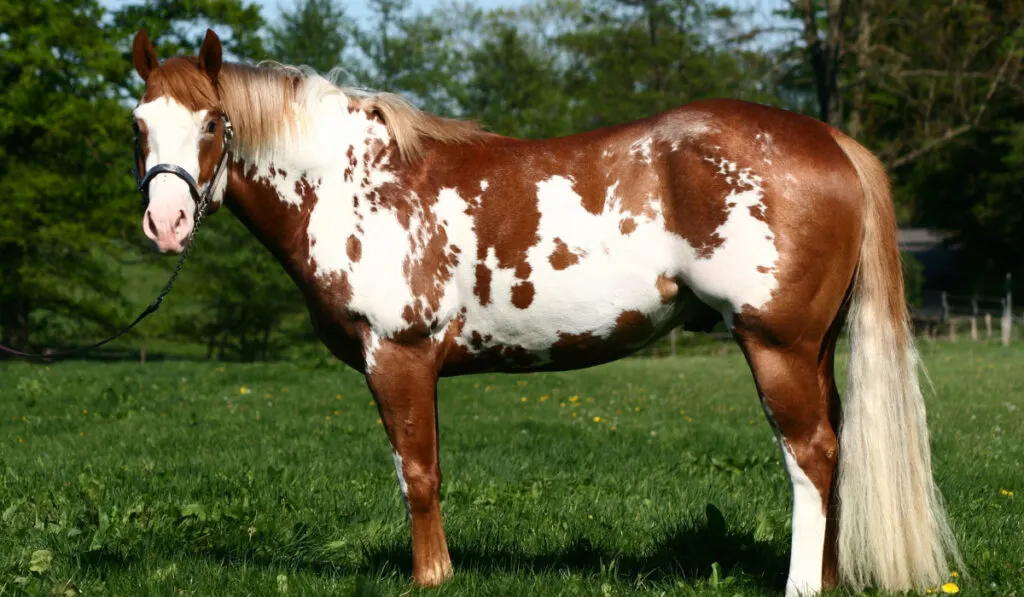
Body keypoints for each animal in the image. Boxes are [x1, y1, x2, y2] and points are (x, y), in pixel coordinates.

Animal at [128, 29, 958, 597]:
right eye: (138, 124)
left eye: (212, 123)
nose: (166, 223)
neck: (354, 181)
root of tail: (830, 140)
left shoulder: (398, 354)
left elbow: (418, 473)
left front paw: (432, 577)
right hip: (811, 346)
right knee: (835, 447)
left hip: (776, 343)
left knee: (811, 454)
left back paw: (801, 583)